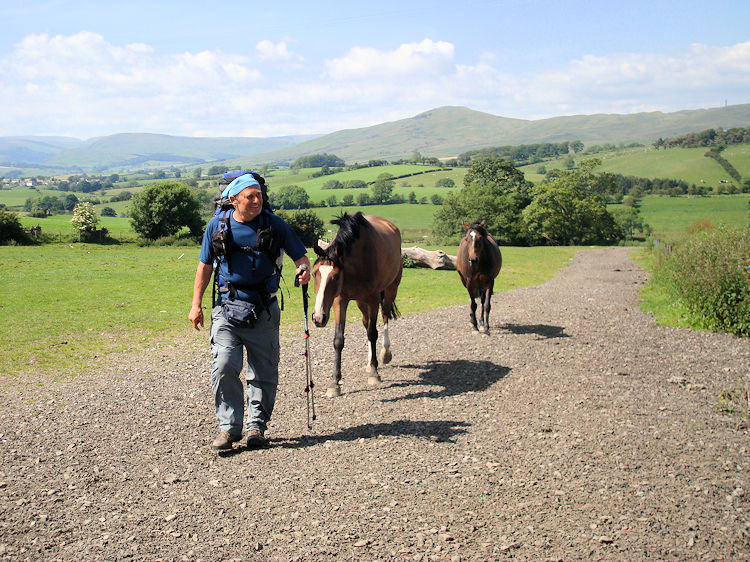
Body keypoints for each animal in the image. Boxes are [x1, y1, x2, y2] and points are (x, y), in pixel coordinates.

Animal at [312, 211, 406, 398]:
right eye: (314, 274)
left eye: (335, 277)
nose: (318, 317)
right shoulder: (340, 301)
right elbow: (339, 340)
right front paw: (335, 383)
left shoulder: (373, 298)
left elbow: (373, 333)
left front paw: (375, 374)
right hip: (361, 302)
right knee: (366, 323)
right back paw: (370, 361)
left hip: (389, 290)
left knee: (384, 318)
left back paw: (384, 354)